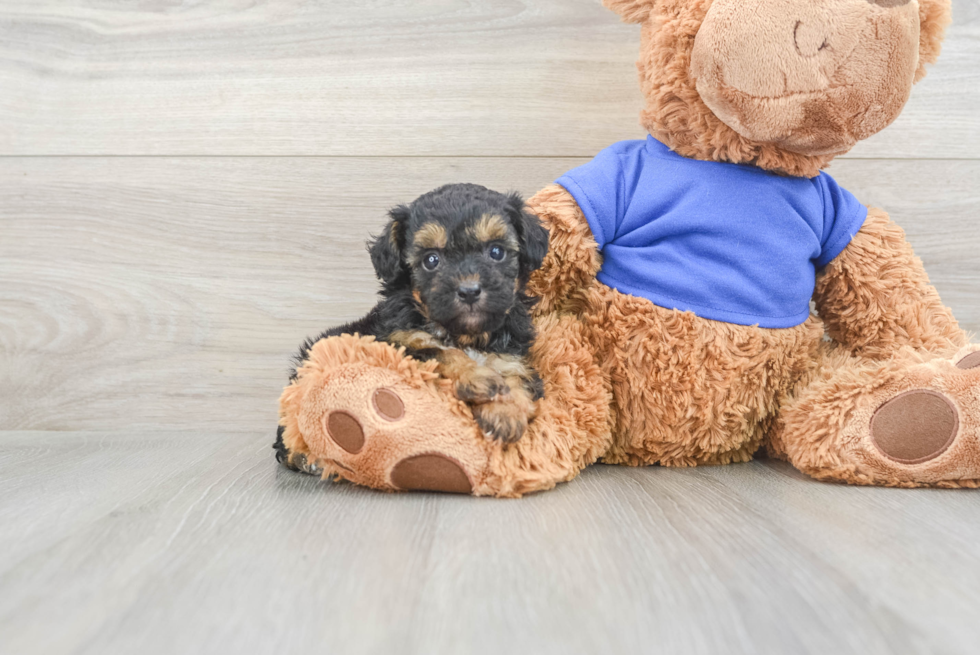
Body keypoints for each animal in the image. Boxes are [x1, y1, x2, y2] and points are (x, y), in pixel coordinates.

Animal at [276, 183, 552, 472]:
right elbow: (441, 352)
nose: (469, 290)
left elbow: (518, 382)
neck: (466, 335)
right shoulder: (399, 342)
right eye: (431, 260)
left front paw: (507, 413)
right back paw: (302, 456)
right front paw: (477, 378)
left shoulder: (512, 359)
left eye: (496, 252)